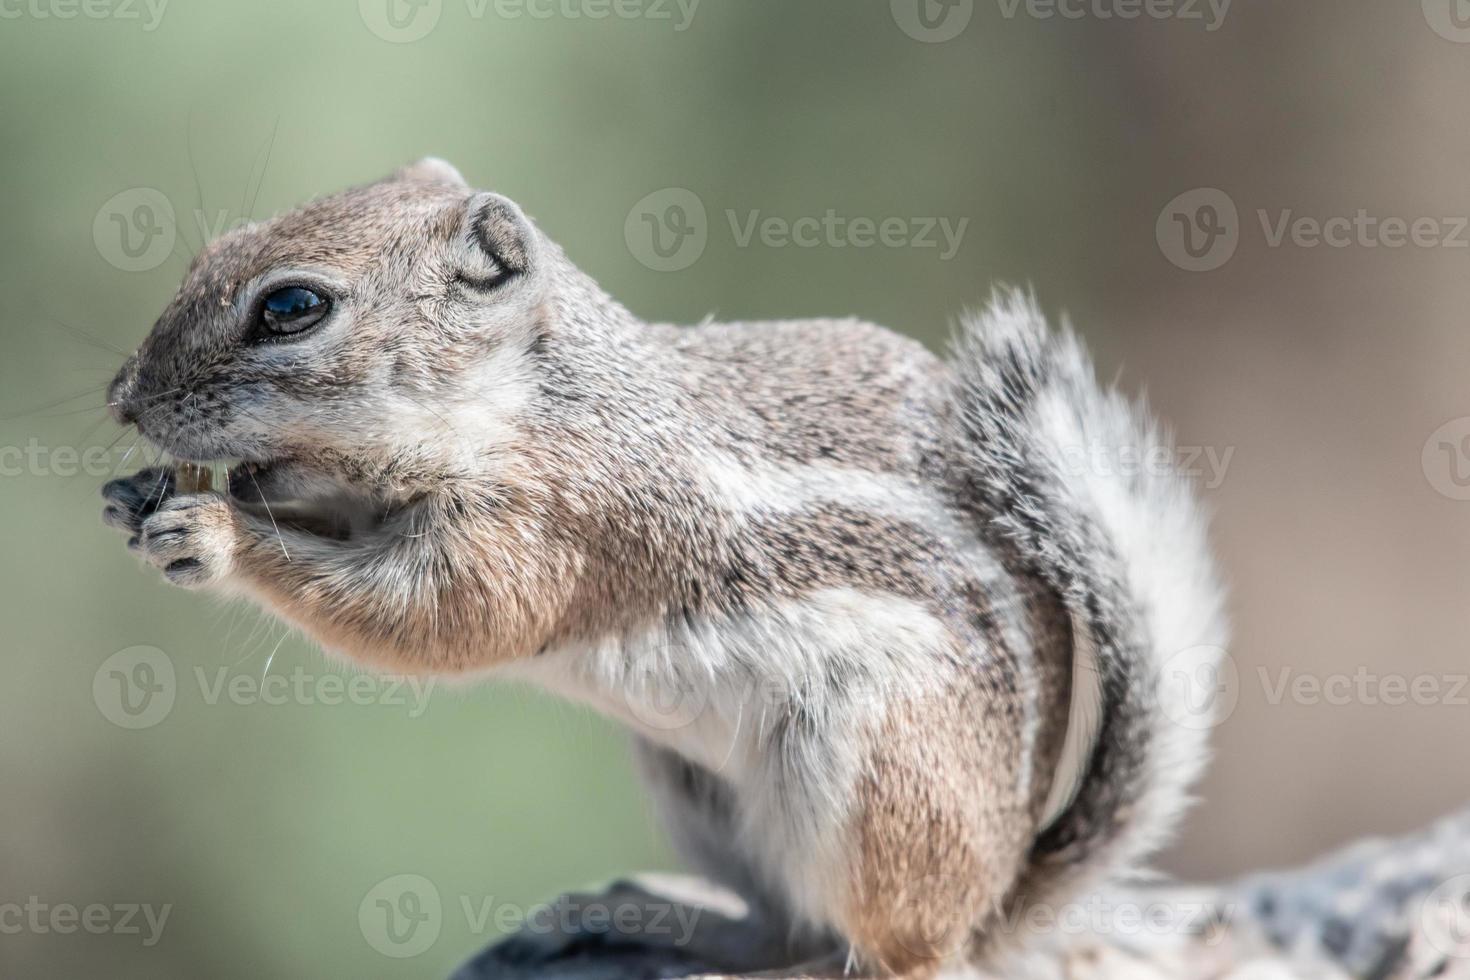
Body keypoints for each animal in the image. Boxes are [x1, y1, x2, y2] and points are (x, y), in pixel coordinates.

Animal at [100, 157, 1228, 975]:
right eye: (214, 249)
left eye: (292, 307)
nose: (123, 396)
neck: (528, 397)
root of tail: (1001, 892)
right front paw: (147, 495)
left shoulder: (550, 529)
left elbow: (433, 622)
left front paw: (216, 535)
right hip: (696, 786)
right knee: (789, 922)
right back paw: (639, 922)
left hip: (866, 776)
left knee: (902, 955)